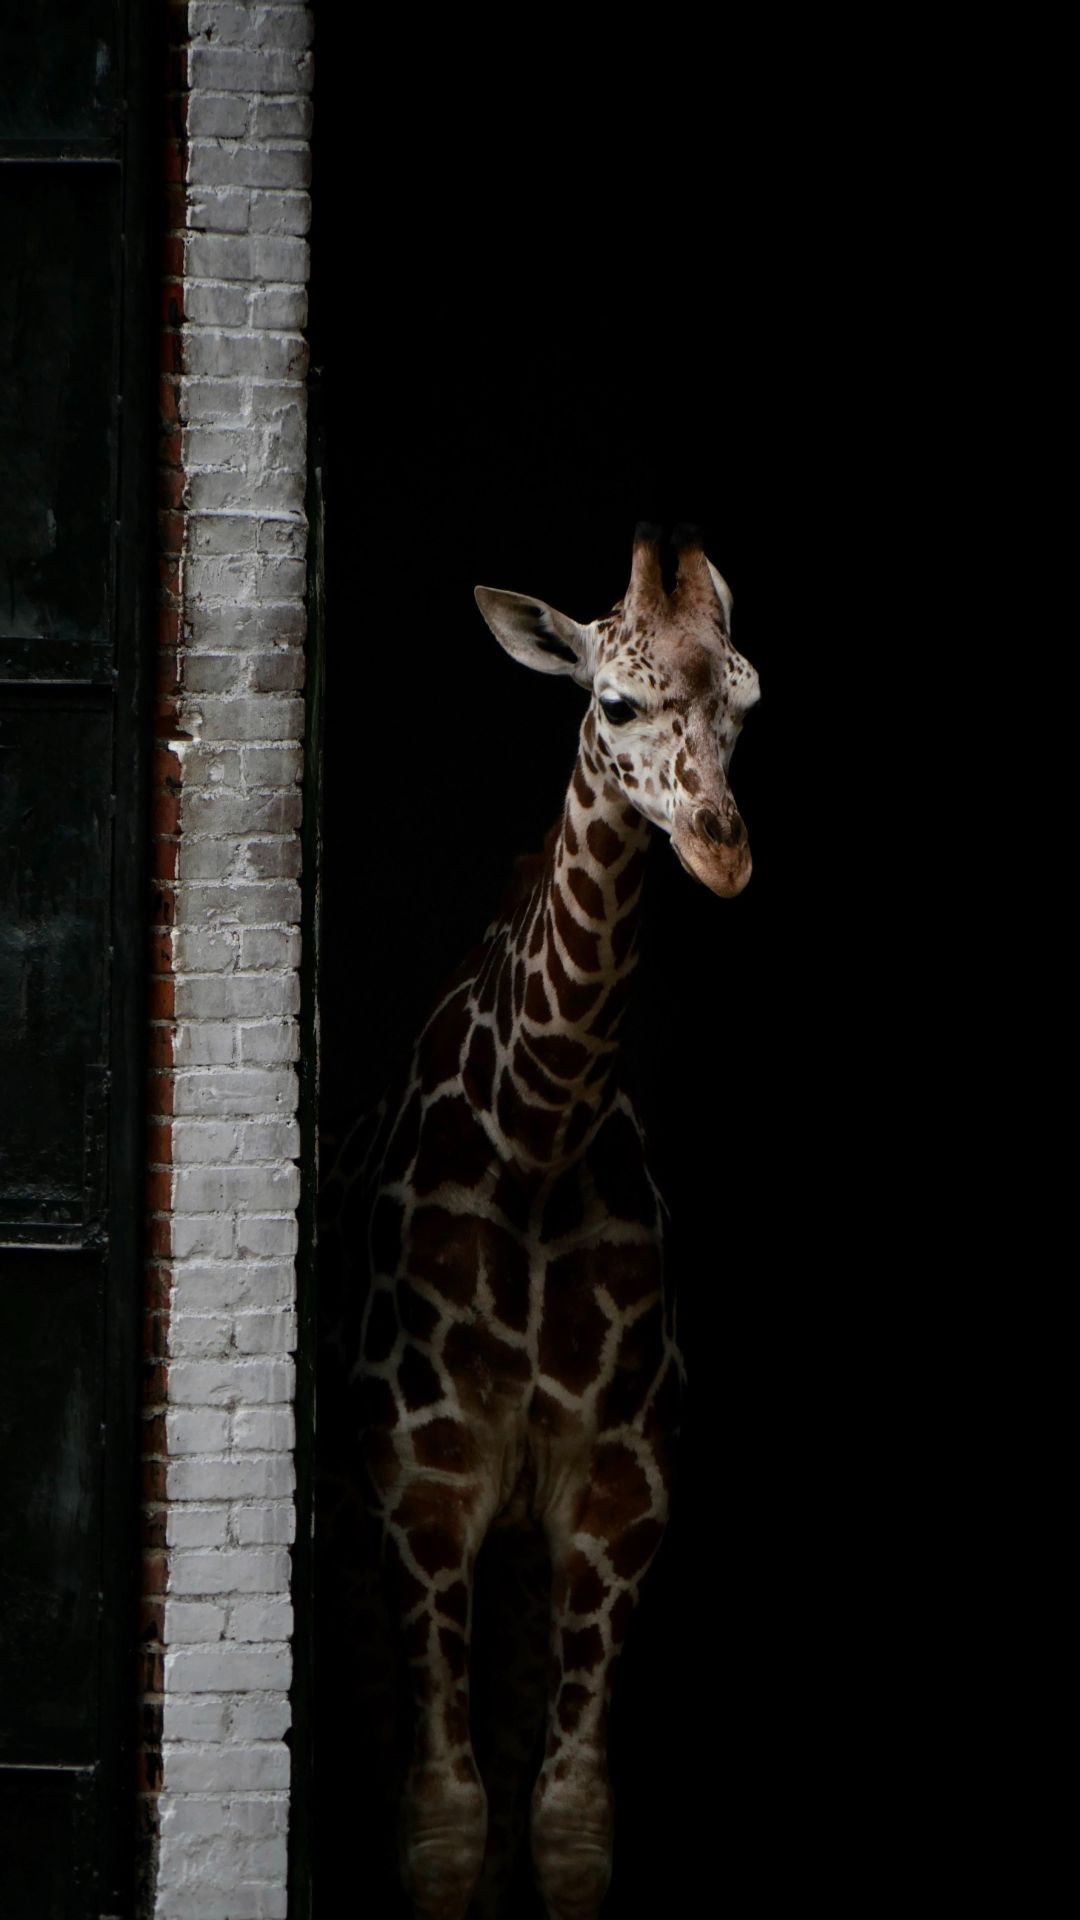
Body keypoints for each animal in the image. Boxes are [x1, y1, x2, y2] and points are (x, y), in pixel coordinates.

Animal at [329, 529, 759, 1920]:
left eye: (747, 701)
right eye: (613, 703)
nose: (723, 851)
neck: (537, 1139)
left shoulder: (620, 1493)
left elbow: (565, 1820)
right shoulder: (423, 1488)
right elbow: (443, 1821)